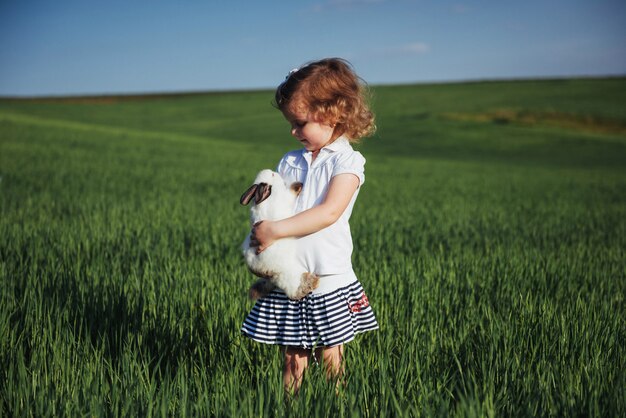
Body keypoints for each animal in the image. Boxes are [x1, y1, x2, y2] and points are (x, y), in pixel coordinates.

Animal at [238, 170, 316, 300]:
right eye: (273, 175)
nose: (272, 171)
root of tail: (269, 273)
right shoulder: (286, 197)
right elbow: (291, 192)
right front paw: (298, 185)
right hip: (290, 274)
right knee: (293, 290)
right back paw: (311, 282)